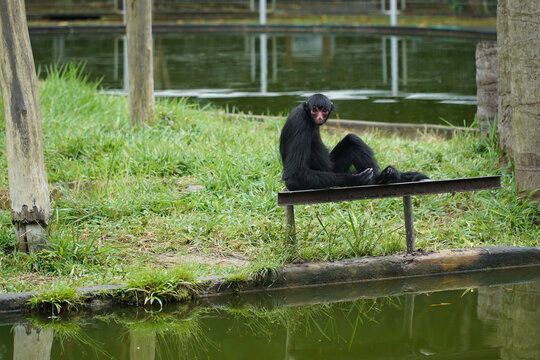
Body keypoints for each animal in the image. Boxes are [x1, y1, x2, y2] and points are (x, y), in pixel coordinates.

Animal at [280, 94, 428, 193]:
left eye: (324, 110)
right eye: (314, 110)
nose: (320, 117)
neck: (307, 115)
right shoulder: (300, 122)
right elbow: (294, 176)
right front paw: (355, 179)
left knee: (352, 139)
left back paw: (384, 176)